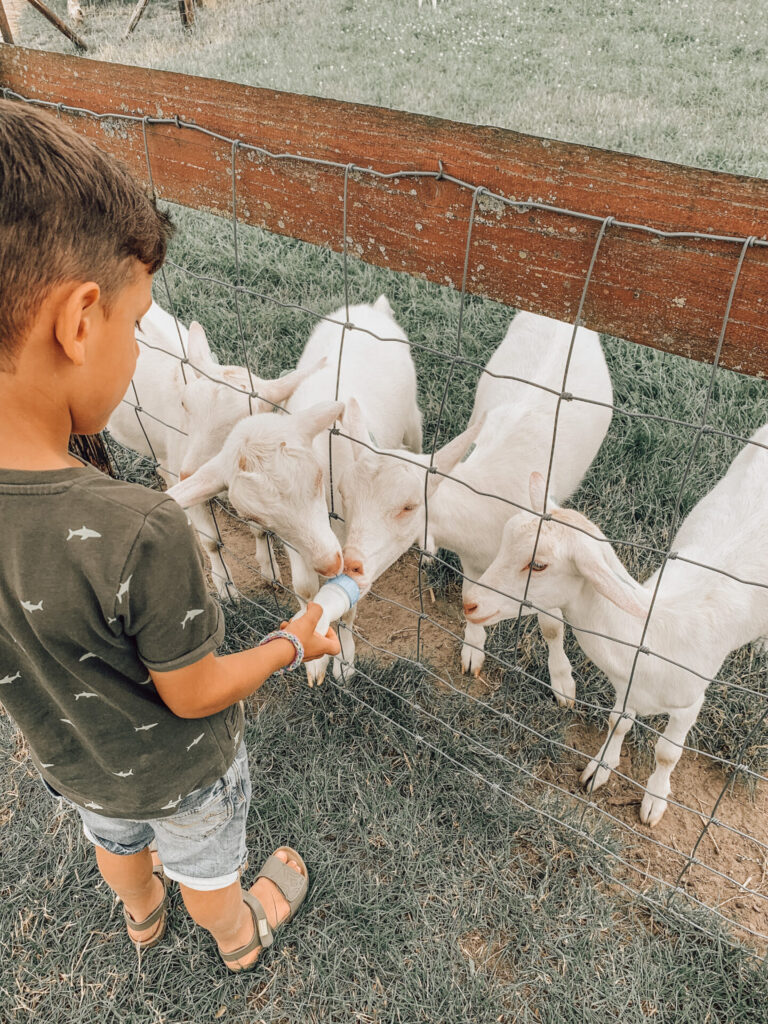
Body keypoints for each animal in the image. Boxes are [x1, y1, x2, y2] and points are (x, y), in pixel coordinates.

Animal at [107, 299, 313, 598]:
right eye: (185, 404)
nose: (189, 474)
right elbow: (211, 541)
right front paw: (225, 586)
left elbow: (259, 529)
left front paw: (270, 572)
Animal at [342, 307, 614, 704]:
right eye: (346, 497)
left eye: (409, 506)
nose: (350, 565)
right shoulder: (471, 557)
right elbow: (470, 596)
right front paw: (473, 650)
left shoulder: (547, 562)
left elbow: (551, 625)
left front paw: (563, 683)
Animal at [466, 440, 768, 823]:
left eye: (538, 564)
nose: (470, 603)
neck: (648, 635)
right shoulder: (627, 685)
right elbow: (617, 723)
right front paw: (600, 768)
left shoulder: (690, 700)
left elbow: (668, 752)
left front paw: (654, 800)